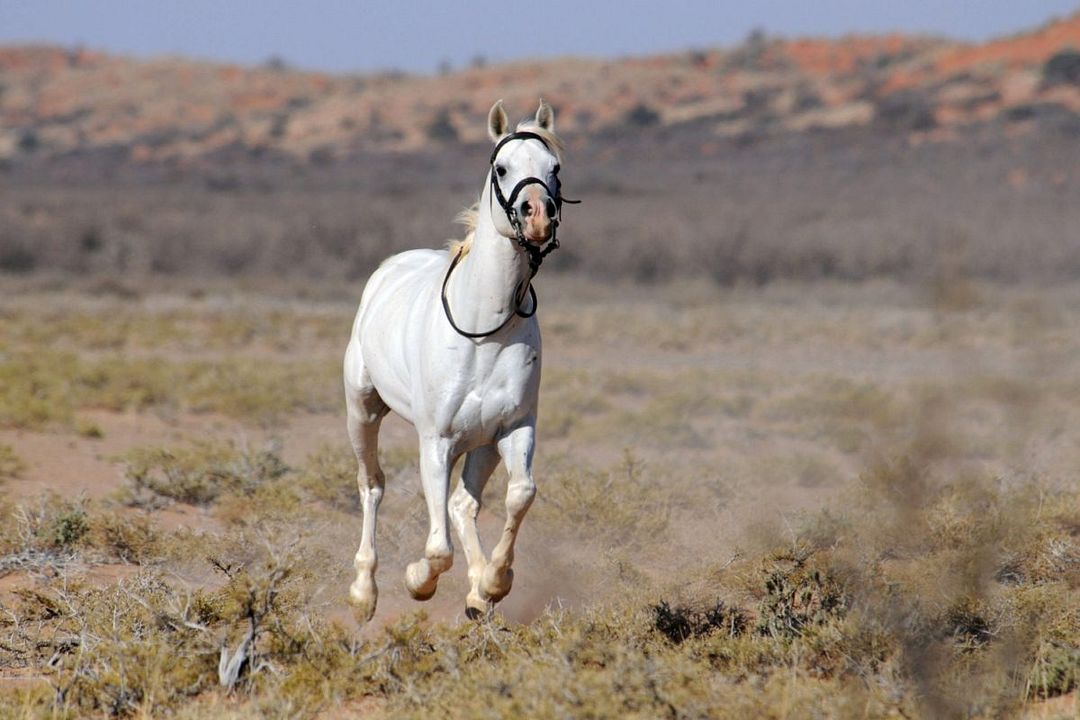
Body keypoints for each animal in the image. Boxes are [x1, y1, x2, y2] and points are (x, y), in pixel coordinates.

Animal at [343, 100, 572, 621]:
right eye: (502, 167)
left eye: (554, 168)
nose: (537, 219)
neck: (487, 330)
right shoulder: (436, 441)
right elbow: (437, 548)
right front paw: (417, 581)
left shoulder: (512, 428)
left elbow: (520, 495)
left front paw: (493, 583)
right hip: (363, 410)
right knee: (372, 485)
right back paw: (364, 592)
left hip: (481, 444)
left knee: (462, 505)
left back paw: (476, 593)